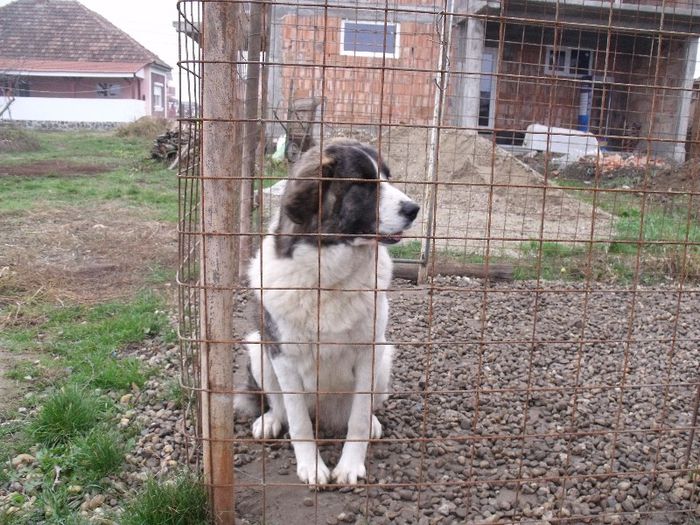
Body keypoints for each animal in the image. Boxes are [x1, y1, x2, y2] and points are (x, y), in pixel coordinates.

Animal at [241, 138, 418, 484]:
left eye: (387, 177)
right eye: (364, 184)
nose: (414, 209)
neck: (329, 277)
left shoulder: (369, 352)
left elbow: (359, 418)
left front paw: (349, 466)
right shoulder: (284, 356)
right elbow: (298, 421)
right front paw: (311, 466)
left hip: (385, 355)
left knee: (366, 409)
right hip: (258, 347)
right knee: (279, 405)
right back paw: (270, 420)